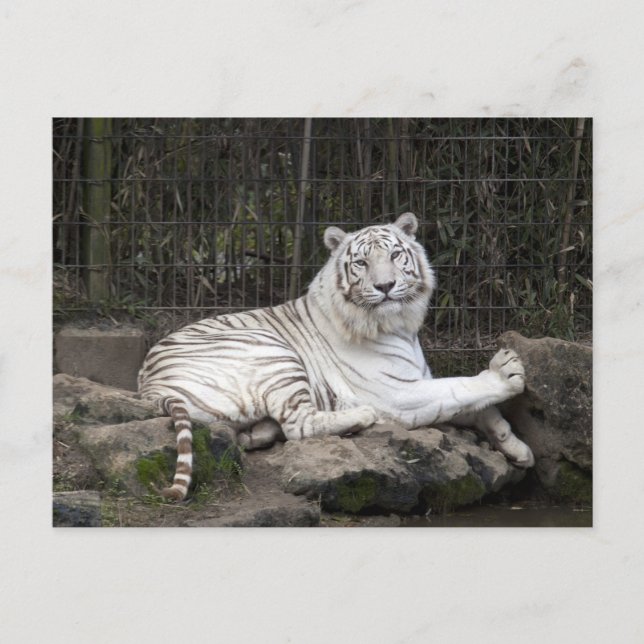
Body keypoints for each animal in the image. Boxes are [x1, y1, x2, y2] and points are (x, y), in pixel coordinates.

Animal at [138, 212, 534, 500]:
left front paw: (517, 448)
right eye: (360, 263)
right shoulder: (398, 392)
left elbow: (479, 408)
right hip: (272, 352)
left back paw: (260, 431)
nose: (385, 286)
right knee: (299, 425)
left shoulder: (420, 379)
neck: (400, 326)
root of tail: (149, 385)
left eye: (395, 255)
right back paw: (361, 416)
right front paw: (505, 373)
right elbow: (460, 388)